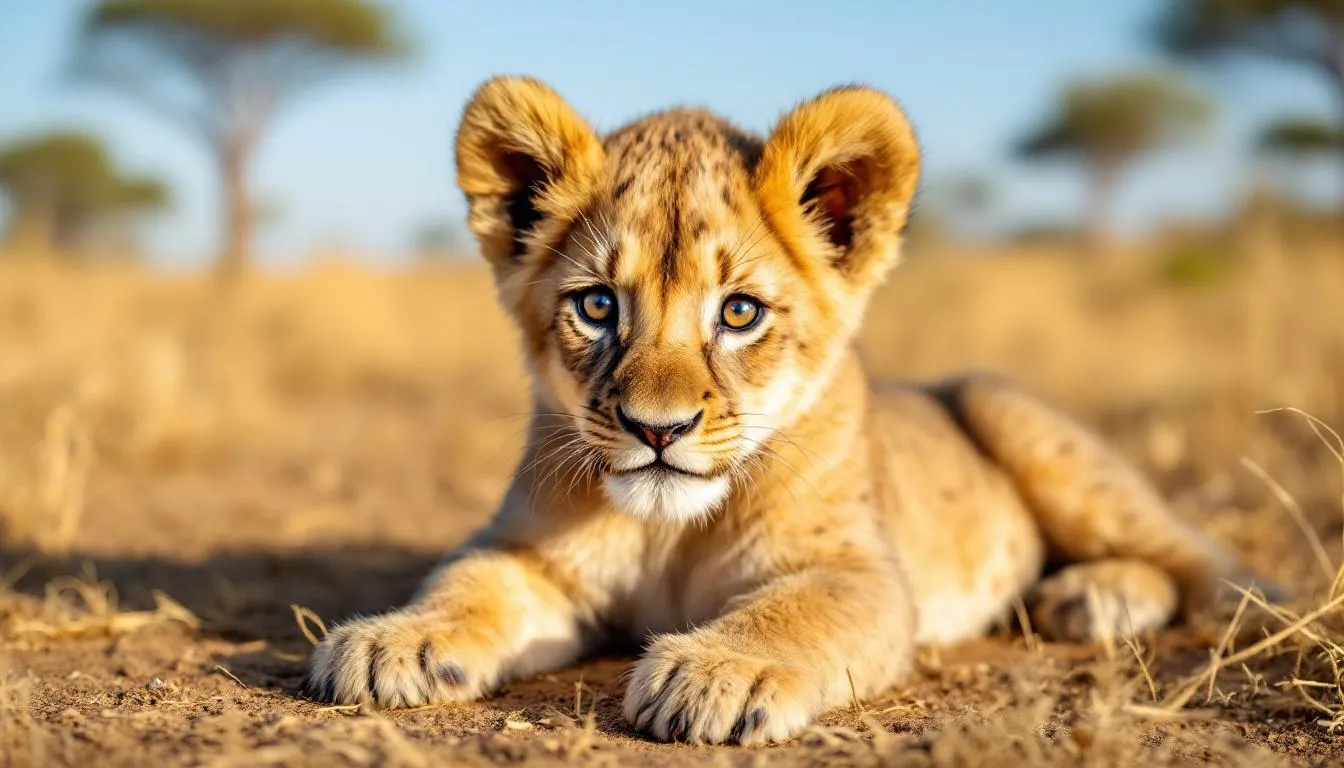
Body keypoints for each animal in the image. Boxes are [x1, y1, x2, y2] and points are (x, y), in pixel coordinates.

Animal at [307, 76, 1263, 745]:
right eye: (598, 307)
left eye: (739, 313)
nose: (657, 430)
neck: (668, 534)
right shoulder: (531, 556)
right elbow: (465, 580)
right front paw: (391, 642)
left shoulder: (861, 572)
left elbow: (793, 610)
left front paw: (719, 673)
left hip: (1009, 410)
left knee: (1198, 564)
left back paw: (1106, 599)